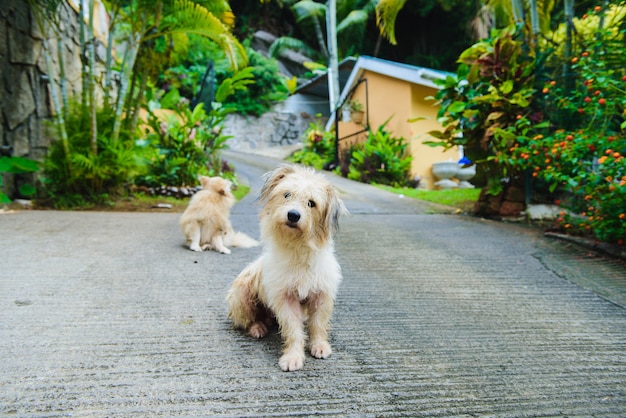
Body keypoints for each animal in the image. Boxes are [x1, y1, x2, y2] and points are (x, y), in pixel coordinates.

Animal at [227, 165, 348, 370]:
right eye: (287, 194)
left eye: (311, 203)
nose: (293, 215)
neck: (298, 250)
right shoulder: (285, 298)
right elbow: (293, 329)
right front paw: (293, 356)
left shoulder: (321, 295)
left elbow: (318, 324)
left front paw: (319, 345)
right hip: (241, 293)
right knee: (247, 318)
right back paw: (257, 327)